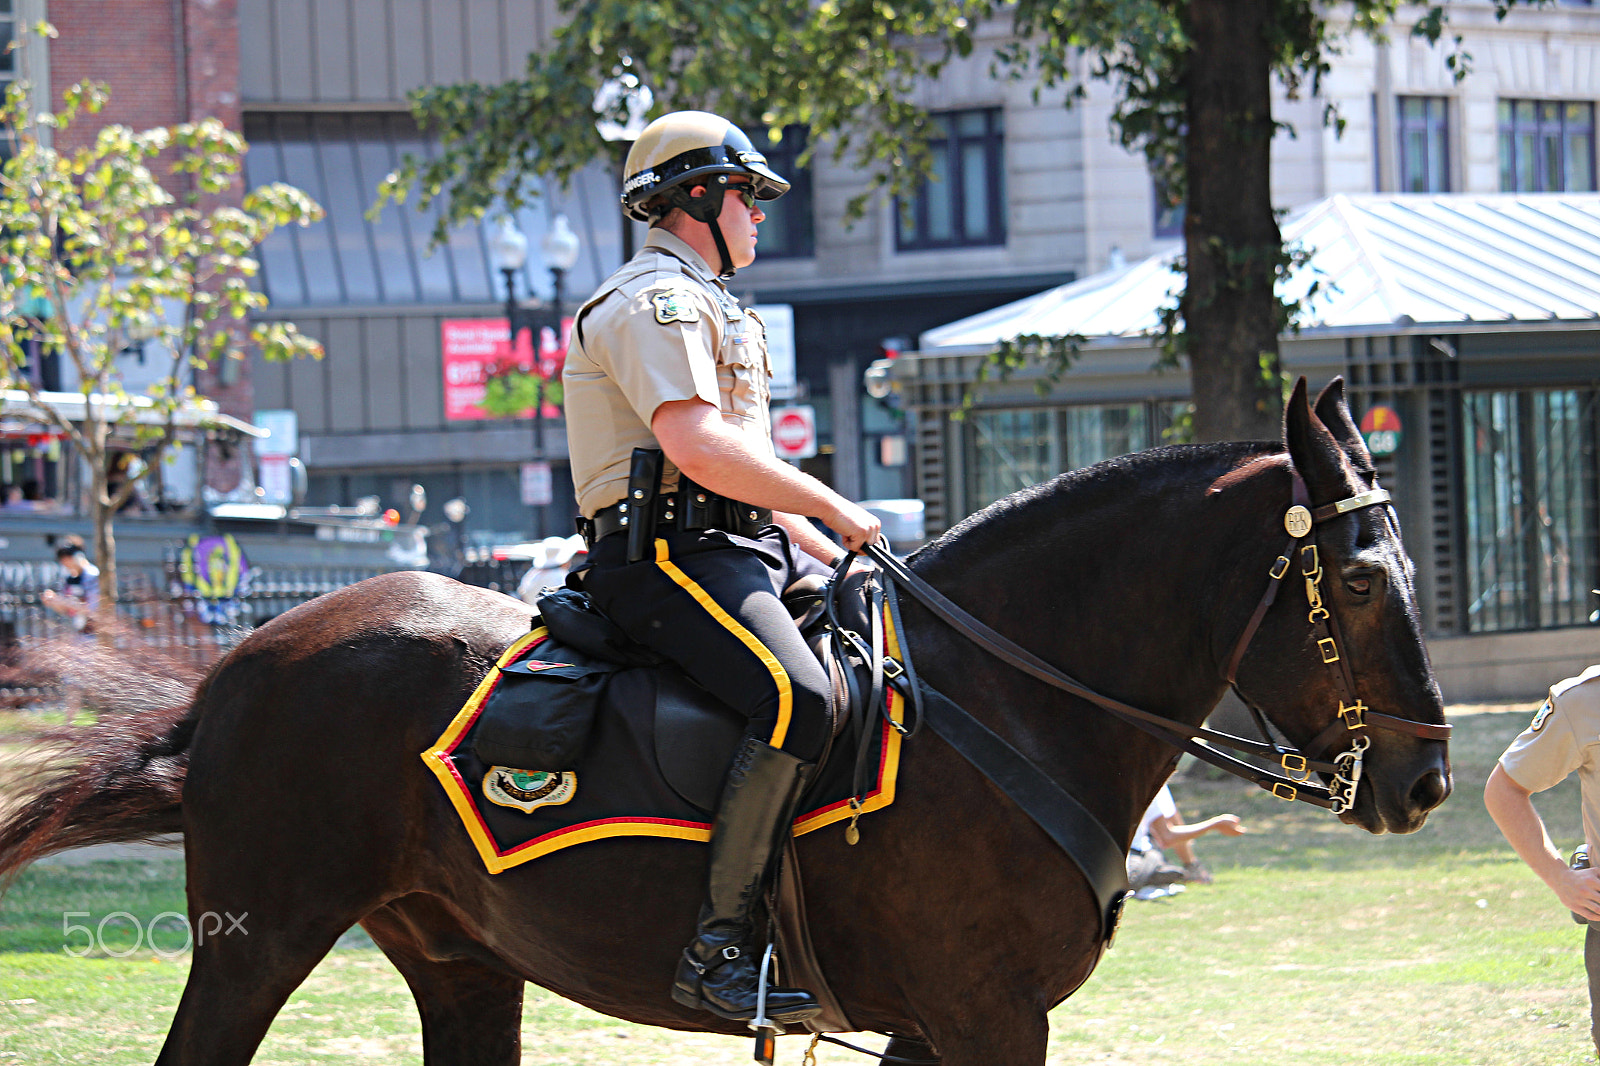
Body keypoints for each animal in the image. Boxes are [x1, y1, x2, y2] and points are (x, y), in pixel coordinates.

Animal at [0, 377, 1452, 1056]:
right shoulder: (989, 1017)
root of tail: (247, 661)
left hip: (462, 964)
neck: (1008, 708)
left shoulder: (936, 1025)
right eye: (1359, 579)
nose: (1426, 781)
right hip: (256, 945)